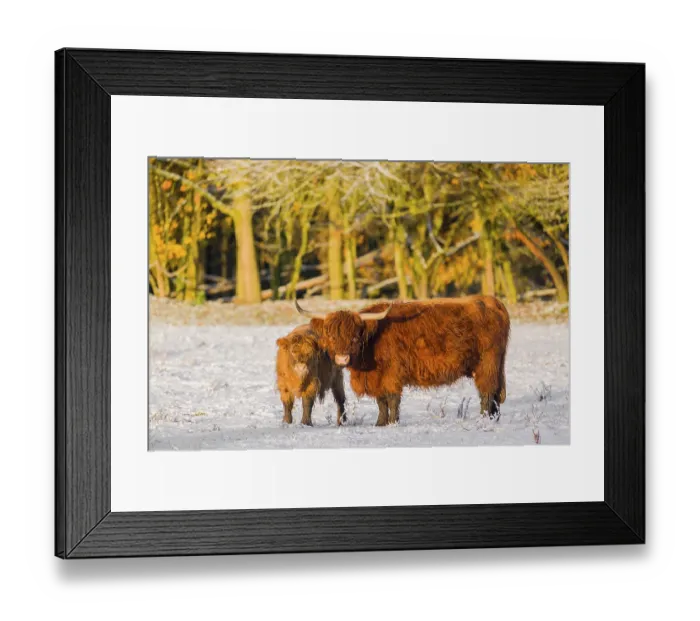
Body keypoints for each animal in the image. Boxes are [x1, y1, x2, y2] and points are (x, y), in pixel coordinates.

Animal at [295, 296, 510, 426]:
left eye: (355, 337)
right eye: (331, 336)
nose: (342, 357)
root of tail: (491, 301)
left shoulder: (392, 374)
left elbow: (392, 399)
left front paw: (392, 422)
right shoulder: (376, 378)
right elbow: (381, 401)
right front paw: (380, 423)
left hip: (487, 363)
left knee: (487, 392)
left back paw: (483, 419)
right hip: (495, 365)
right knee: (495, 394)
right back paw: (494, 418)